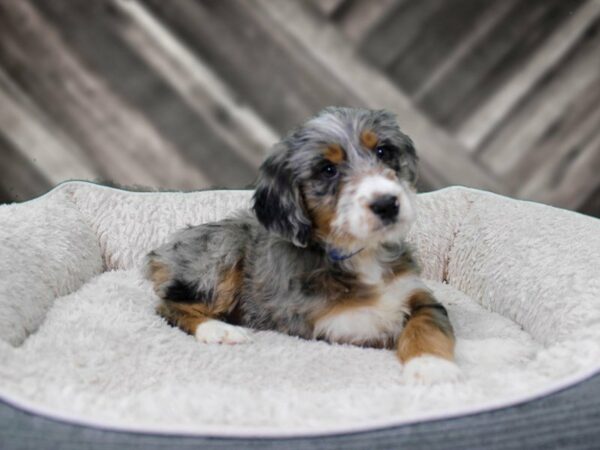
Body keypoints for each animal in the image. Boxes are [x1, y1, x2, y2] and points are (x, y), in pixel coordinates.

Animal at [145, 106, 460, 384]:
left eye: (383, 151)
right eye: (328, 170)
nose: (386, 204)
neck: (362, 253)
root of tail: (160, 253)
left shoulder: (416, 293)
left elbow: (427, 321)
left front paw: (431, 365)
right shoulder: (323, 322)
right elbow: (377, 322)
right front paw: (429, 366)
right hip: (221, 255)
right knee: (168, 306)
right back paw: (219, 331)